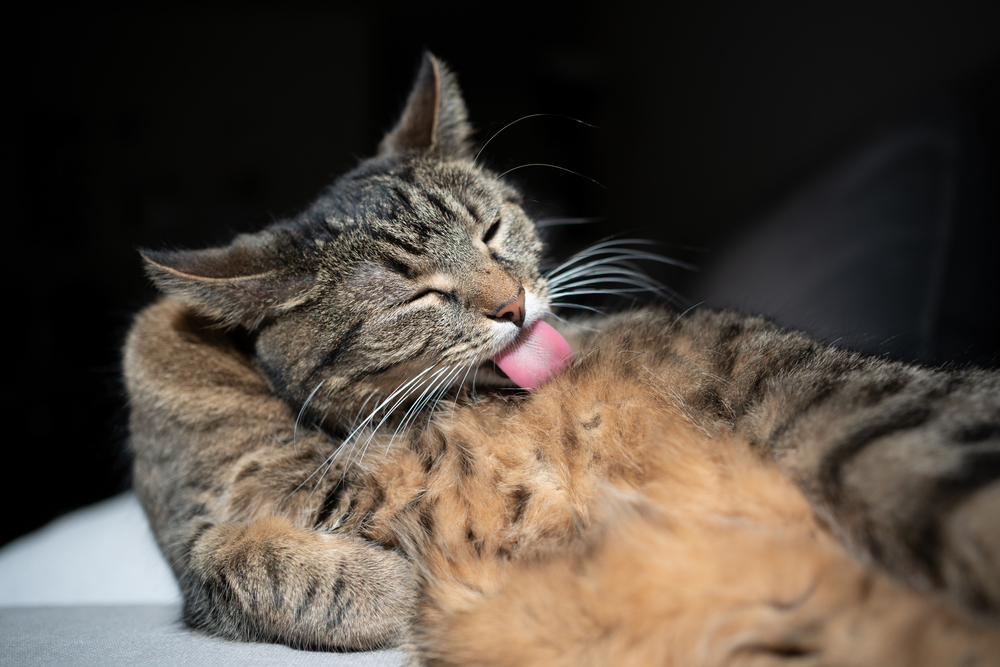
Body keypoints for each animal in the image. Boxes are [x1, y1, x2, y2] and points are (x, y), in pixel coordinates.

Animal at [125, 52, 1000, 664]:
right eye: (415, 296)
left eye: (489, 229)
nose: (513, 305)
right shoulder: (201, 534)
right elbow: (242, 564)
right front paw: (397, 588)